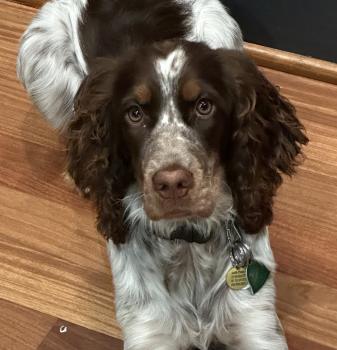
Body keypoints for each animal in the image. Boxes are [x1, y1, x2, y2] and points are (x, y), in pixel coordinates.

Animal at [17, 1, 308, 348]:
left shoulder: (257, 323)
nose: (171, 183)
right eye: (134, 113)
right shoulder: (149, 330)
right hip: (38, 56)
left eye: (205, 106)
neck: (187, 242)